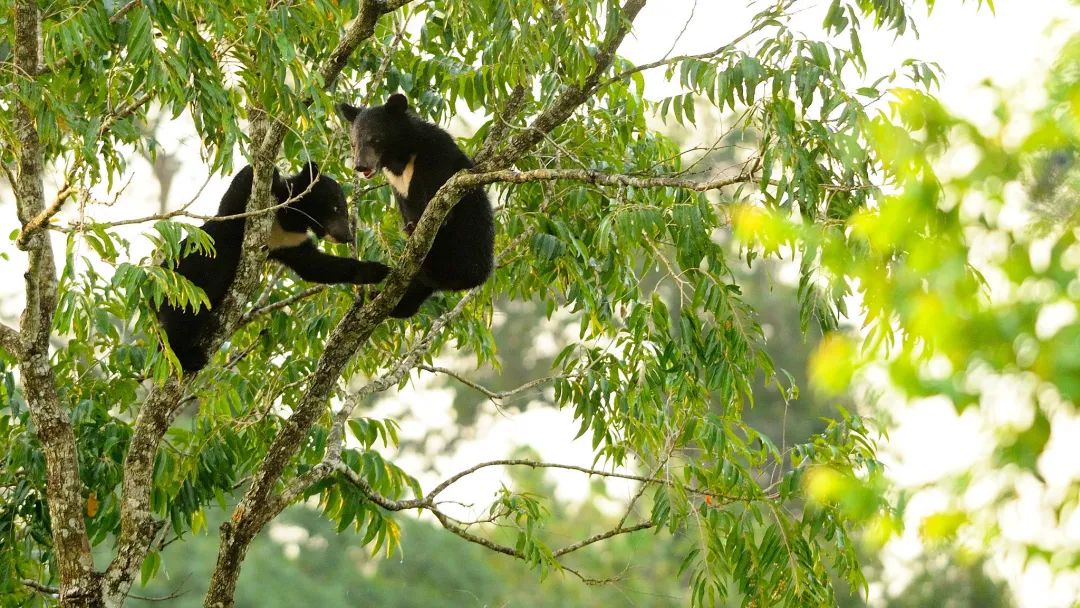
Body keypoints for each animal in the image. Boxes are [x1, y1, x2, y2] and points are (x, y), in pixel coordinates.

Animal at [156, 161, 393, 371]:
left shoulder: (289, 242)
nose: (347, 236)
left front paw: (378, 270)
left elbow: (315, 266)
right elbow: (240, 188)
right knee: (180, 322)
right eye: (336, 207)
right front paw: (273, 172)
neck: (290, 219)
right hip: (184, 290)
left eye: (344, 209)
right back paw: (188, 358)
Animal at [334, 95, 494, 319]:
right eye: (353, 144)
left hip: (467, 244)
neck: (400, 157)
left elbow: (441, 198)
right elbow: (407, 206)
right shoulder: (398, 185)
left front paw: (416, 225)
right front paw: (410, 226)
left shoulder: (437, 157)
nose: (360, 166)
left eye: (375, 139)